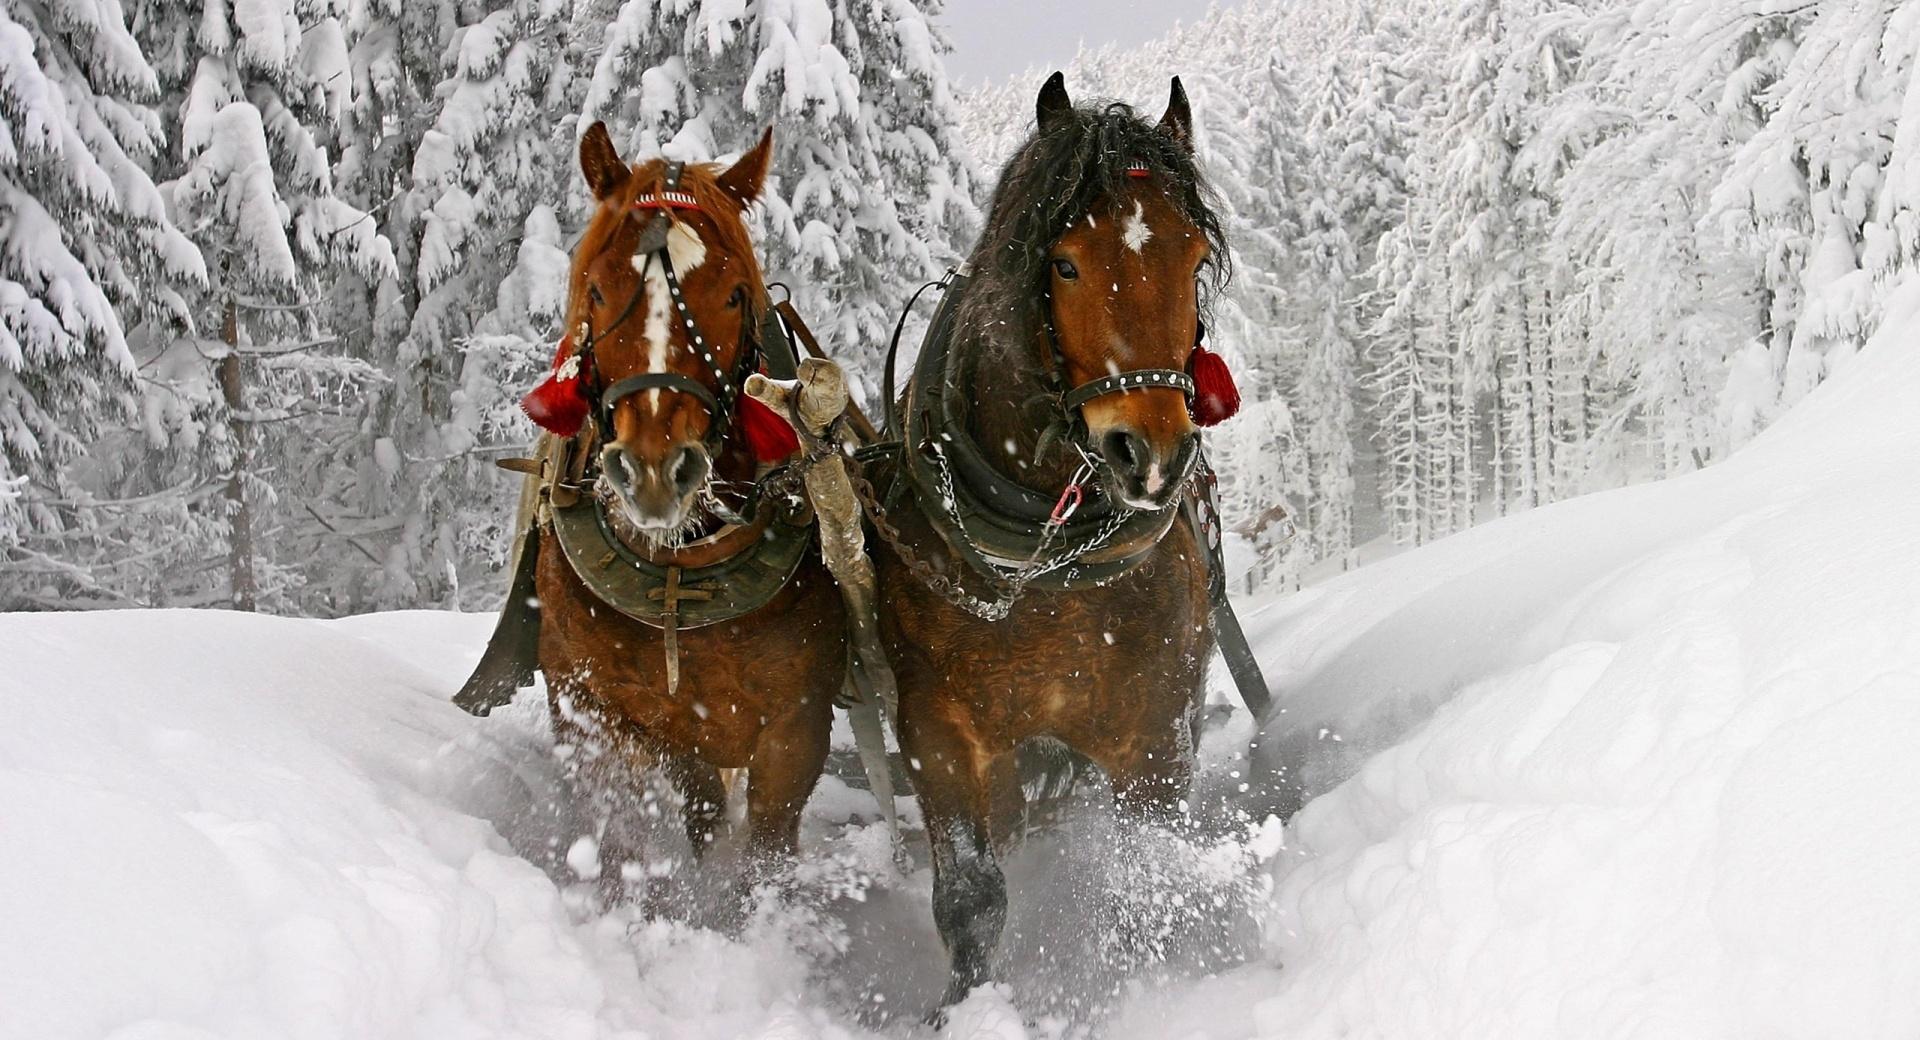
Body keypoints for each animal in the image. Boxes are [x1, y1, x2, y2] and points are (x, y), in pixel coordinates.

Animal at [474, 122, 840, 909]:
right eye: (597, 287)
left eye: (734, 295)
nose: (652, 471)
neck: (681, 572)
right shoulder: (593, 711)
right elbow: (619, 841)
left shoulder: (795, 729)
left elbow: (766, 858)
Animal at [871, 75, 1228, 1013]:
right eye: (1064, 263)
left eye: (1193, 261)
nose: (1152, 454)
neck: (1045, 563)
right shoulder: (938, 731)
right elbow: (970, 898)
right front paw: (961, 1010)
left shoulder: (1156, 730)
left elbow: (1147, 874)